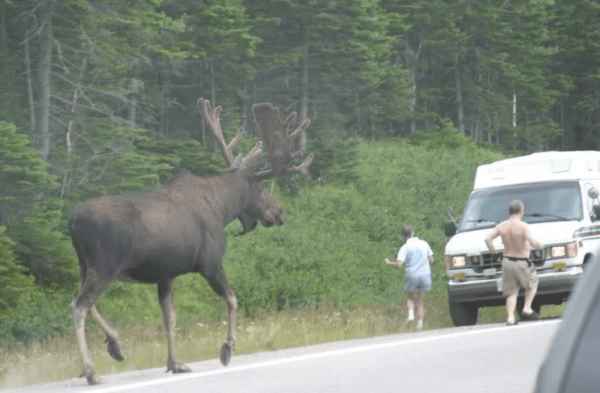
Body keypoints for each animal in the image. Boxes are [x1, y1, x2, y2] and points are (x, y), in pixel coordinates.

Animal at [69, 98, 314, 382]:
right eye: (263, 188)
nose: (279, 213)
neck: (223, 209)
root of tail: (71, 221)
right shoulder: (211, 263)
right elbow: (233, 299)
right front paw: (227, 349)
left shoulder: (166, 275)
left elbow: (170, 318)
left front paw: (175, 362)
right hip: (104, 266)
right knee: (79, 305)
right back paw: (90, 371)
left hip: (85, 265)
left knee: (83, 302)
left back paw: (115, 345)